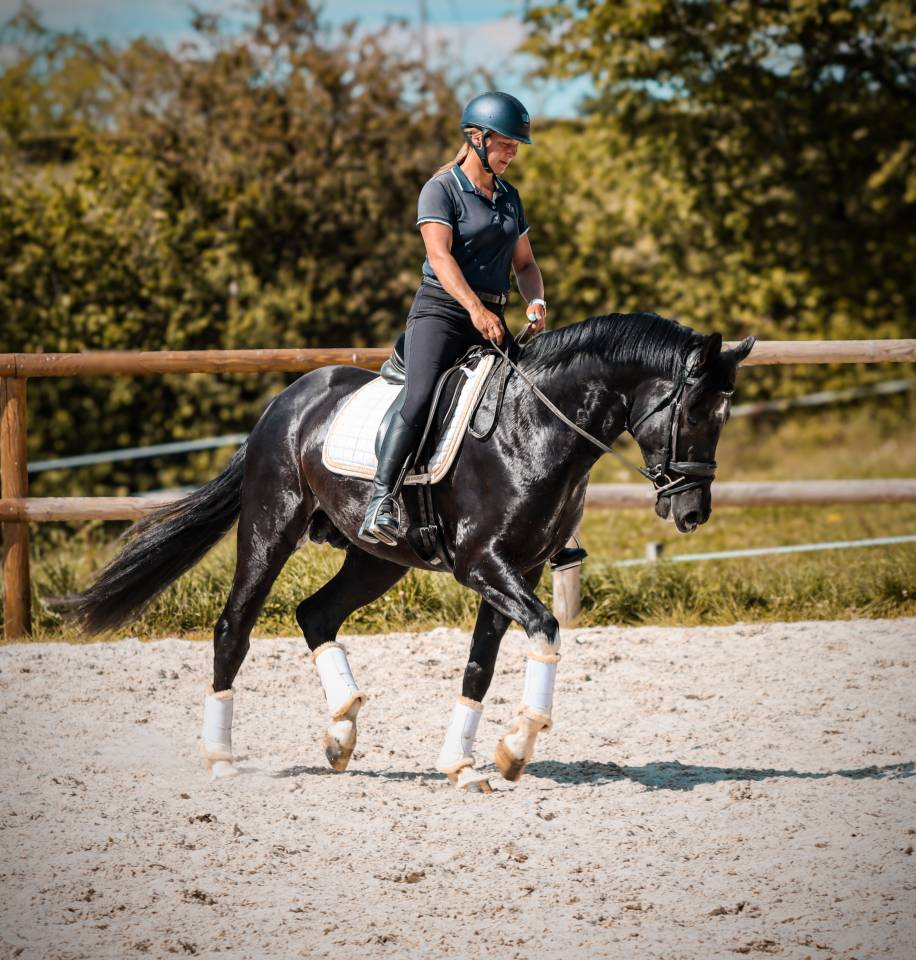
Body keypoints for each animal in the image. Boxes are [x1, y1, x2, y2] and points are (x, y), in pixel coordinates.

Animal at [57, 312, 755, 792]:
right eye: (695, 413)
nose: (692, 513)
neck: (536, 428)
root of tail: (286, 401)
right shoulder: (483, 565)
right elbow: (546, 629)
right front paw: (516, 746)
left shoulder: (520, 569)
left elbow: (481, 664)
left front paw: (467, 763)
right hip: (270, 528)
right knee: (235, 626)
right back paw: (223, 758)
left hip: (375, 559)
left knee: (315, 614)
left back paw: (341, 732)